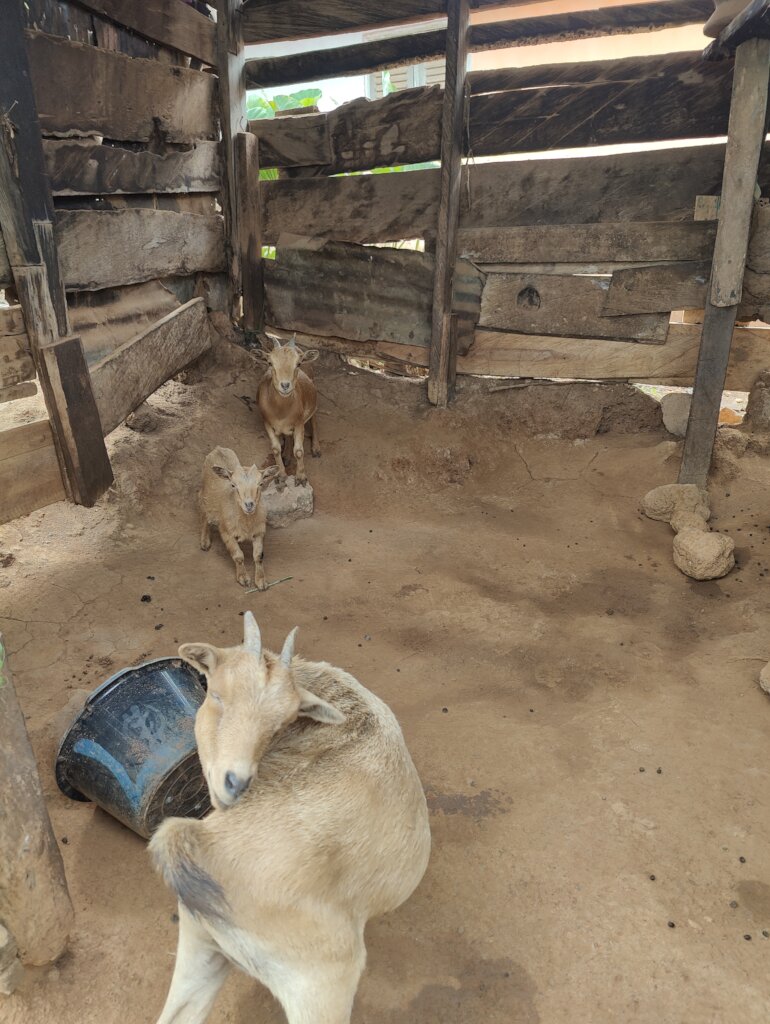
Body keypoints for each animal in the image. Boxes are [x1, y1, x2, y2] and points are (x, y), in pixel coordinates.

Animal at [199, 447, 278, 589]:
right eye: (233, 485)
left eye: (260, 484)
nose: (249, 505)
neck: (246, 521)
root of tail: (218, 448)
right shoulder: (226, 533)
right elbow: (238, 556)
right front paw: (243, 578)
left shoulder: (259, 532)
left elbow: (258, 556)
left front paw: (261, 581)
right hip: (205, 494)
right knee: (204, 513)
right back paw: (205, 541)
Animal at [256, 337, 320, 489]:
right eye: (270, 363)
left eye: (298, 364)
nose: (285, 386)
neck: (281, 411)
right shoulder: (267, 422)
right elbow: (275, 449)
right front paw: (281, 475)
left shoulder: (299, 423)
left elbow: (299, 451)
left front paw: (301, 478)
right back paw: (286, 455)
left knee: (314, 418)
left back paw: (316, 448)